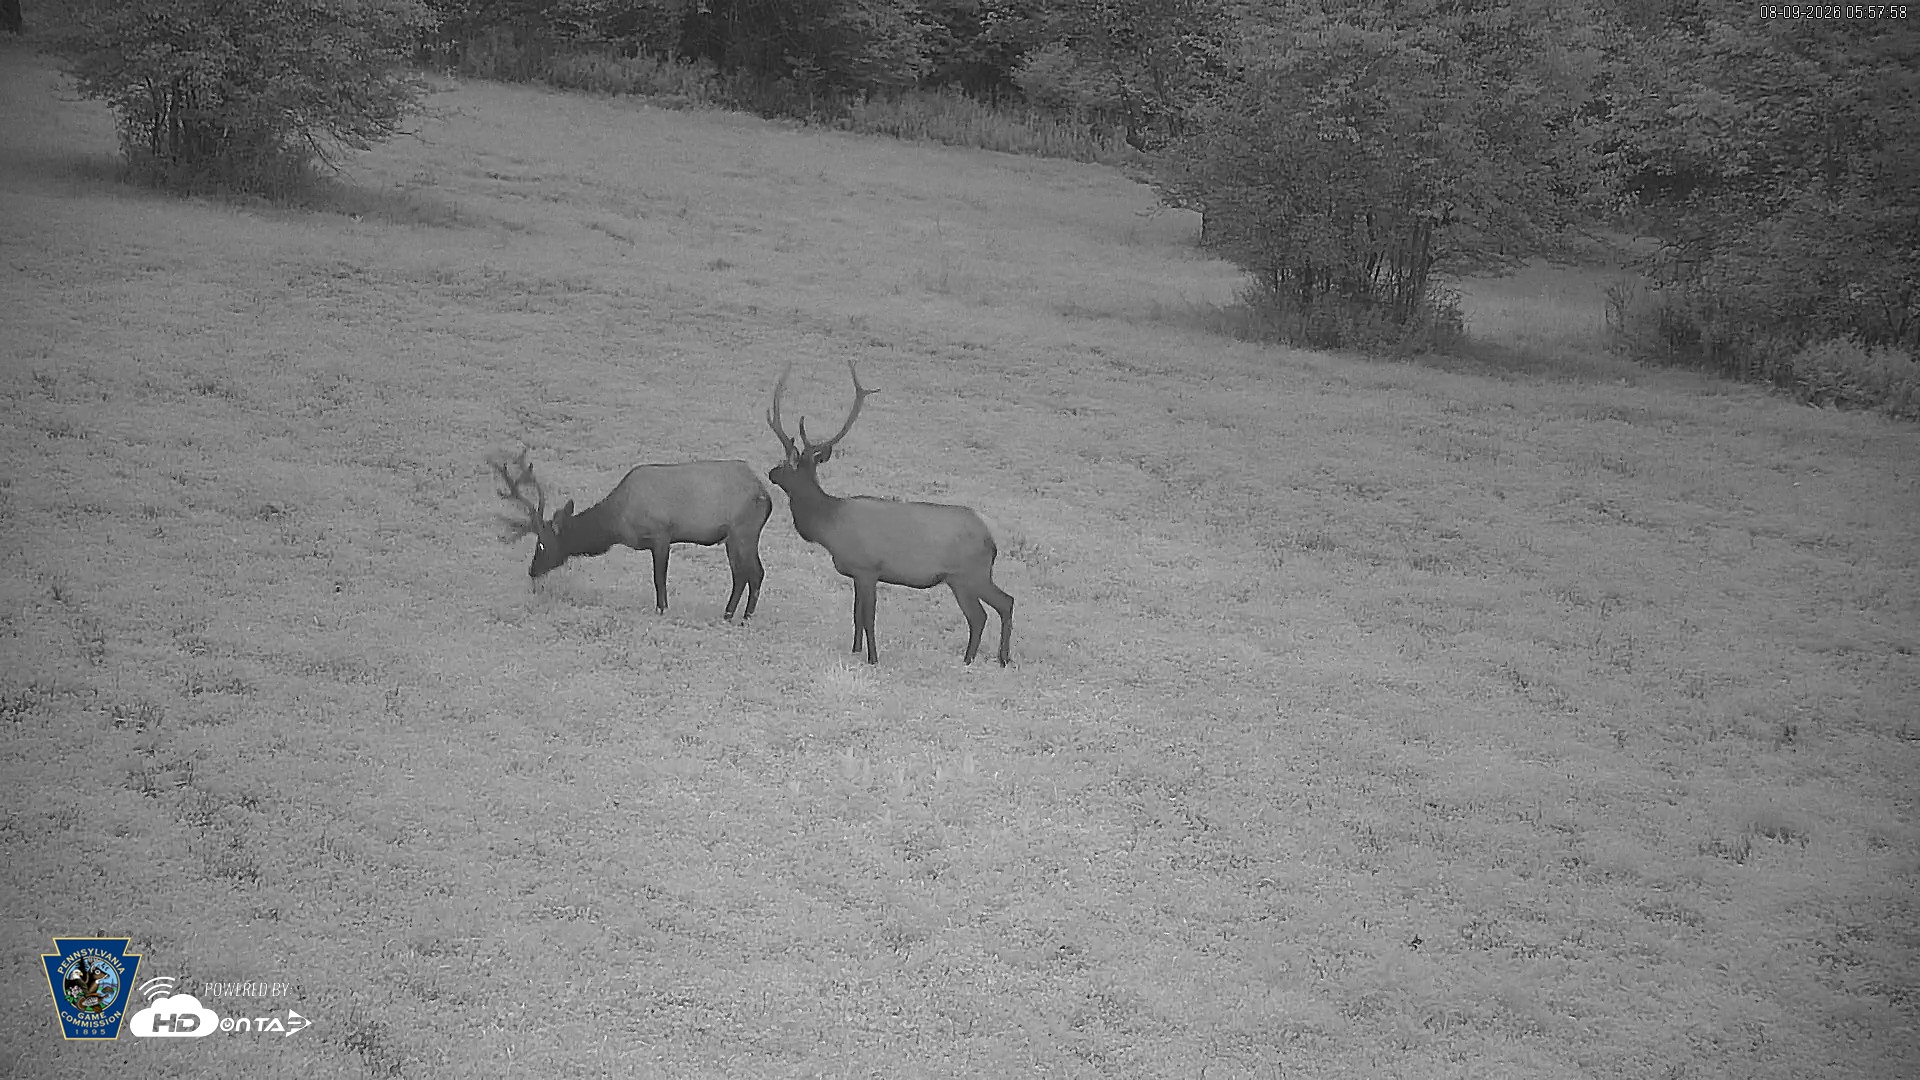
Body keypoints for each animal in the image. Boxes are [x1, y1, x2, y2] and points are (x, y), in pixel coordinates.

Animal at [493, 449, 773, 621]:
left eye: (541, 544)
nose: (531, 571)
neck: (618, 522)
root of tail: (766, 495)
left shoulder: (661, 533)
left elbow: (659, 579)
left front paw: (662, 610)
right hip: (732, 537)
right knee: (741, 574)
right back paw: (728, 615)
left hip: (745, 530)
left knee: (756, 572)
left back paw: (745, 618)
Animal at [765, 360, 1013, 666]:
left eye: (788, 463)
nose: (771, 472)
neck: (829, 527)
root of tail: (991, 540)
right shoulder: (856, 574)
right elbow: (856, 616)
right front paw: (855, 650)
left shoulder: (868, 568)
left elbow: (869, 617)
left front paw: (873, 658)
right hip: (970, 577)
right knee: (999, 605)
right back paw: (997, 659)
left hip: (968, 575)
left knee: (986, 612)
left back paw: (977, 659)